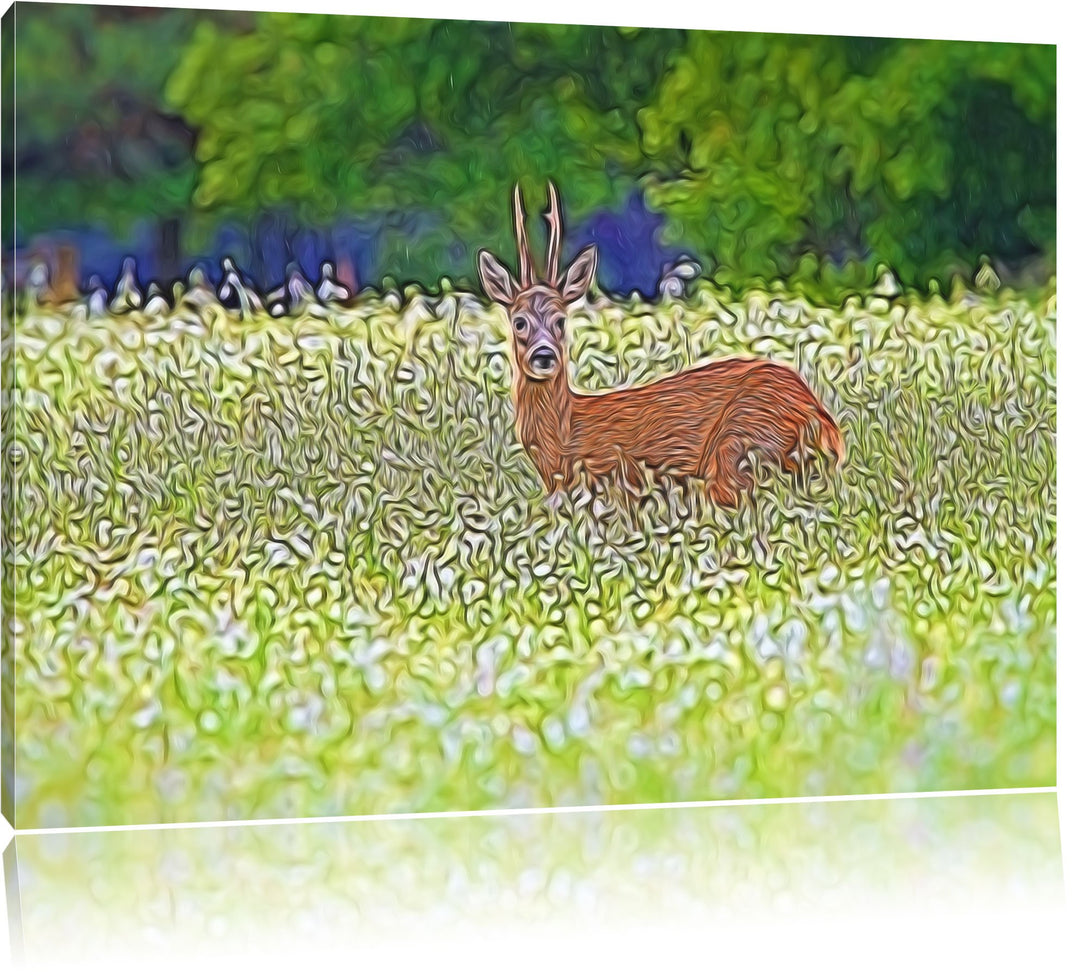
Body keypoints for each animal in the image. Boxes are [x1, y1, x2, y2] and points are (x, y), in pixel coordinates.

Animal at [476, 182, 844, 508]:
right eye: (519, 322)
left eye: (561, 321)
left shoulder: (611, 466)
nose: (544, 356)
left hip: (737, 438)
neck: (566, 440)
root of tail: (819, 418)